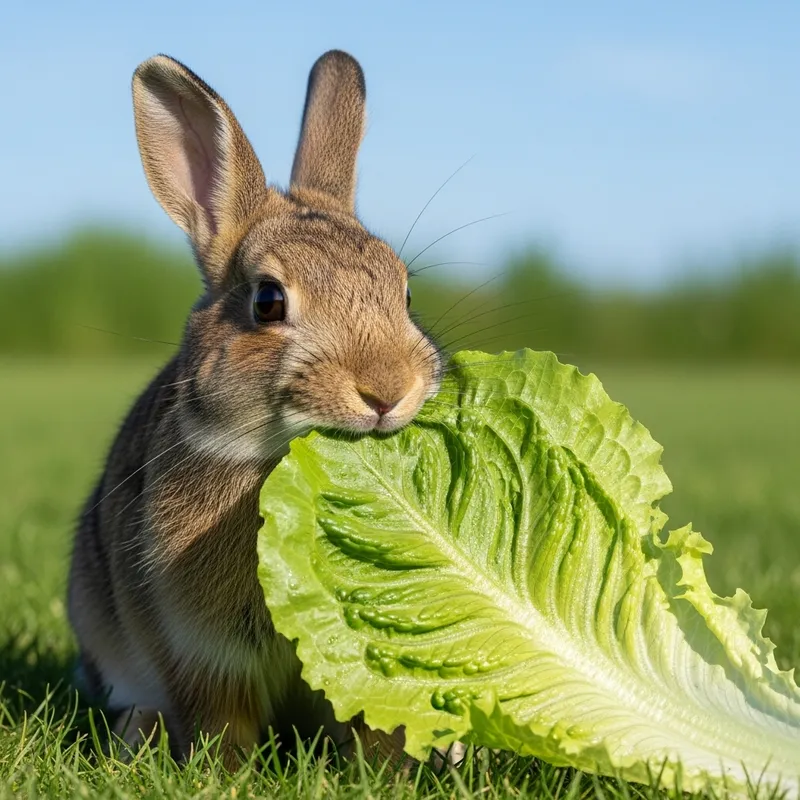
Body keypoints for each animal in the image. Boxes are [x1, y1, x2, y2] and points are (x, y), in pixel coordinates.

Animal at [67, 49, 442, 768]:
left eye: (405, 293)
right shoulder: (205, 651)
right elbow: (223, 721)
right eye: (268, 301)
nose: (388, 390)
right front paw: (224, 772)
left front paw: (391, 768)